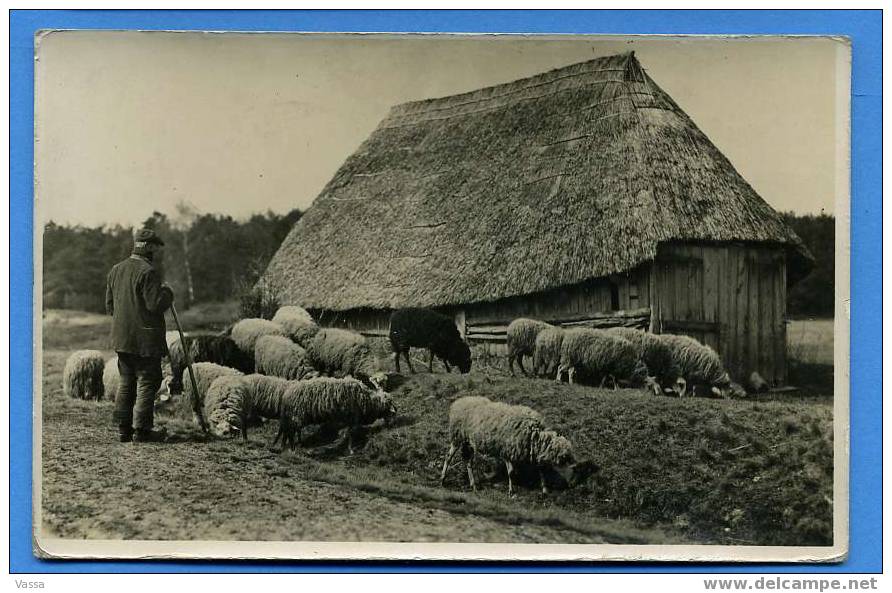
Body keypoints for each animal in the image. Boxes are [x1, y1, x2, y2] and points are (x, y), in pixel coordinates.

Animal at [440, 398, 580, 494]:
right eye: (570, 466)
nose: (573, 485)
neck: (535, 434)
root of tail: (459, 402)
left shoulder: (531, 452)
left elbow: (541, 471)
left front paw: (544, 489)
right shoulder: (507, 451)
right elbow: (511, 473)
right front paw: (511, 491)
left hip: (468, 442)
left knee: (469, 462)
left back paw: (473, 485)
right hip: (457, 437)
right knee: (448, 457)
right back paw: (442, 479)